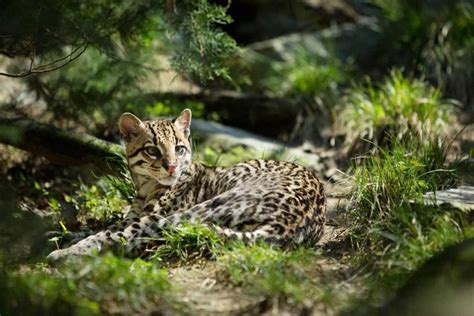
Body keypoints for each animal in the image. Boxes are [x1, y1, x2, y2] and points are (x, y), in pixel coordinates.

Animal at [47, 108, 326, 262]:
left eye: (179, 148)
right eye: (152, 150)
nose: (171, 167)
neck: (145, 186)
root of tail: (287, 228)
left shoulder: (153, 215)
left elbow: (111, 230)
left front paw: (73, 246)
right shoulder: (136, 212)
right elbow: (110, 224)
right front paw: (71, 234)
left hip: (202, 208)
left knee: (133, 237)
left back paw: (70, 255)